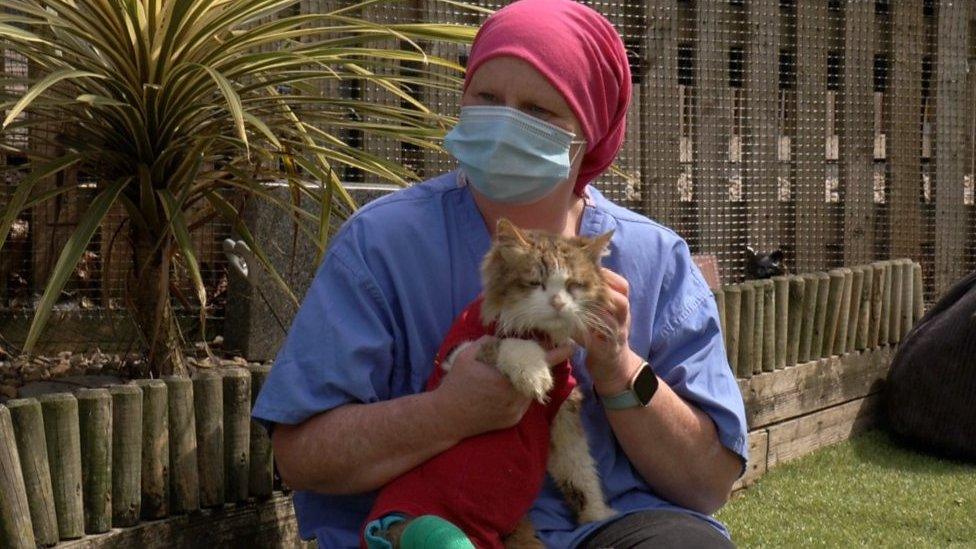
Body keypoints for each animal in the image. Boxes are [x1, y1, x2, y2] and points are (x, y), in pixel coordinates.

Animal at [366, 218, 616, 548]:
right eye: (535, 283)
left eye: (573, 285)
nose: (558, 302)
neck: (539, 332)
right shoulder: (461, 355)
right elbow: (505, 343)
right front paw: (533, 373)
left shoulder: (564, 414)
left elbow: (580, 471)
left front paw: (597, 514)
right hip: (411, 520)